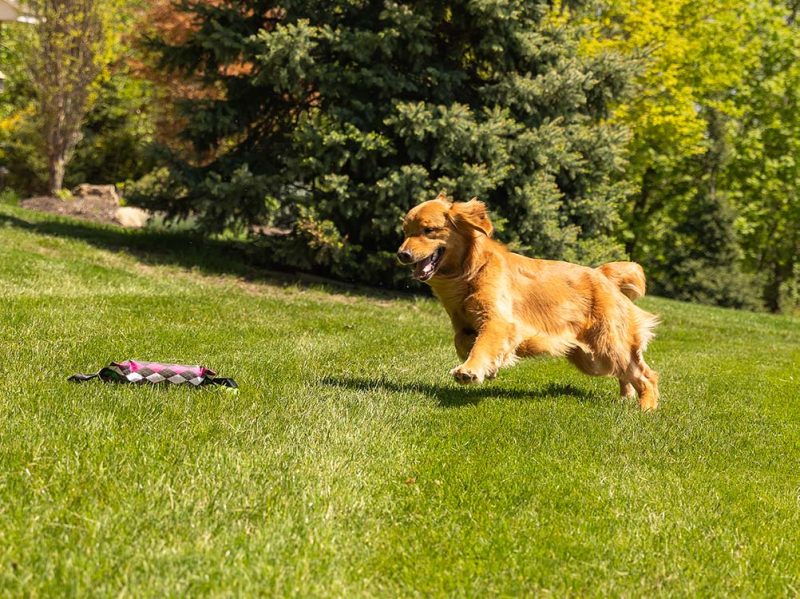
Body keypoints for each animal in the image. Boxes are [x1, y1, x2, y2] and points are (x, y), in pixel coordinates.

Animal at [396, 195, 664, 410]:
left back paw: (646, 408)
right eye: (406, 232)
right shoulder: (463, 325)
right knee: (626, 373)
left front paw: (470, 370)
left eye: (429, 230)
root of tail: (602, 274)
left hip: (608, 344)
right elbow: (463, 341)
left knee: (646, 374)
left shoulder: (500, 321)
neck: (470, 272)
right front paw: (490, 368)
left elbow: (483, 344)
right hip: (591, 359)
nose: (402, 254)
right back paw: (627, 397)